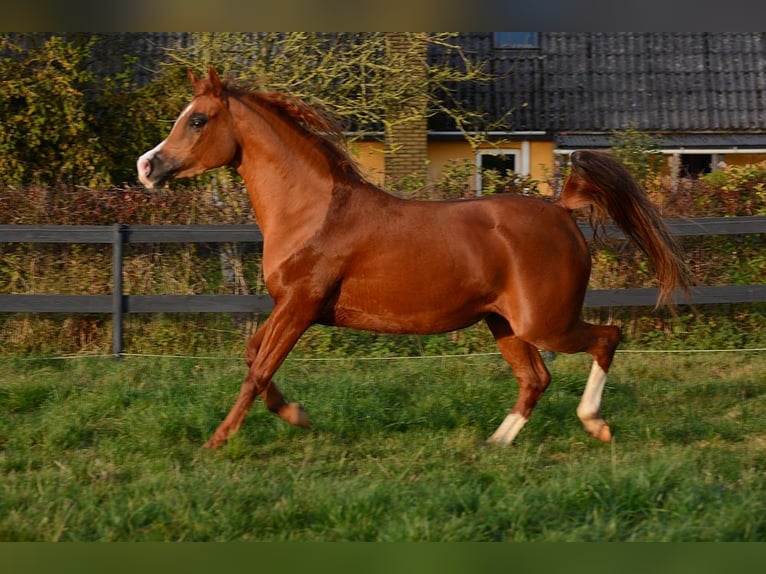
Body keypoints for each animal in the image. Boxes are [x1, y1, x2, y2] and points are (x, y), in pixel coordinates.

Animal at [136, 67, 688, 452]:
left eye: (198, 119)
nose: (147, 167)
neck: (311, 212)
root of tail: (561, 209)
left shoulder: (300, 305)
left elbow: (256, 370)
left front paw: (216, 441)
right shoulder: (289, 306)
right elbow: (255, 359)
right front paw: (298, 414)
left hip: (545, 323)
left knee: (607, 338)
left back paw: (594, 424)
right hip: (505, 324)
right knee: (536, 379)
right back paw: (494, 442)